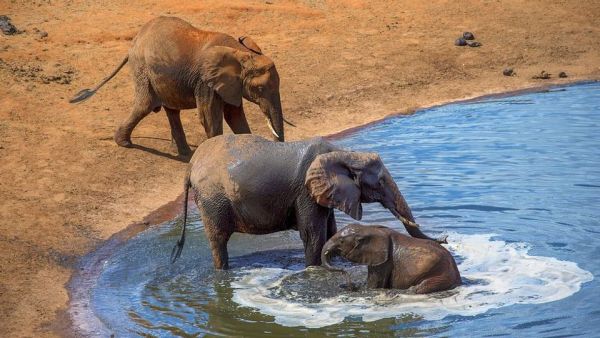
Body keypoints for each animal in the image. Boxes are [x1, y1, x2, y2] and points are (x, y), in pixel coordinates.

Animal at [70, 15, 286, 156]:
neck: (242, 52)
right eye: (259, 89)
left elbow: (234, 116)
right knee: (144, 105)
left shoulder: (232, 85)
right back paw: (125, 143)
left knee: (171, 110)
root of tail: (136, 40)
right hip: (143, 70)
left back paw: (182, 152)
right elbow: (209, 118)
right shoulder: (206, 82)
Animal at [171, 134, 442, 270]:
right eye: (380, 182)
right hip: (212, 199)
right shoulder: (305, 192)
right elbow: (313, 234)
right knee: (218, 240)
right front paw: (314, 271)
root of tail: (191, 164)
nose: (445, 239)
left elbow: (330, 230)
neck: (344, 153)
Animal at [324, 224, 460, 294]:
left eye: (341, 242)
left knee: (418, 289)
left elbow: (374, 285)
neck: (369, 228)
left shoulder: (384, 260)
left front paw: (358, 289)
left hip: (440, 273)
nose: (349, 285)